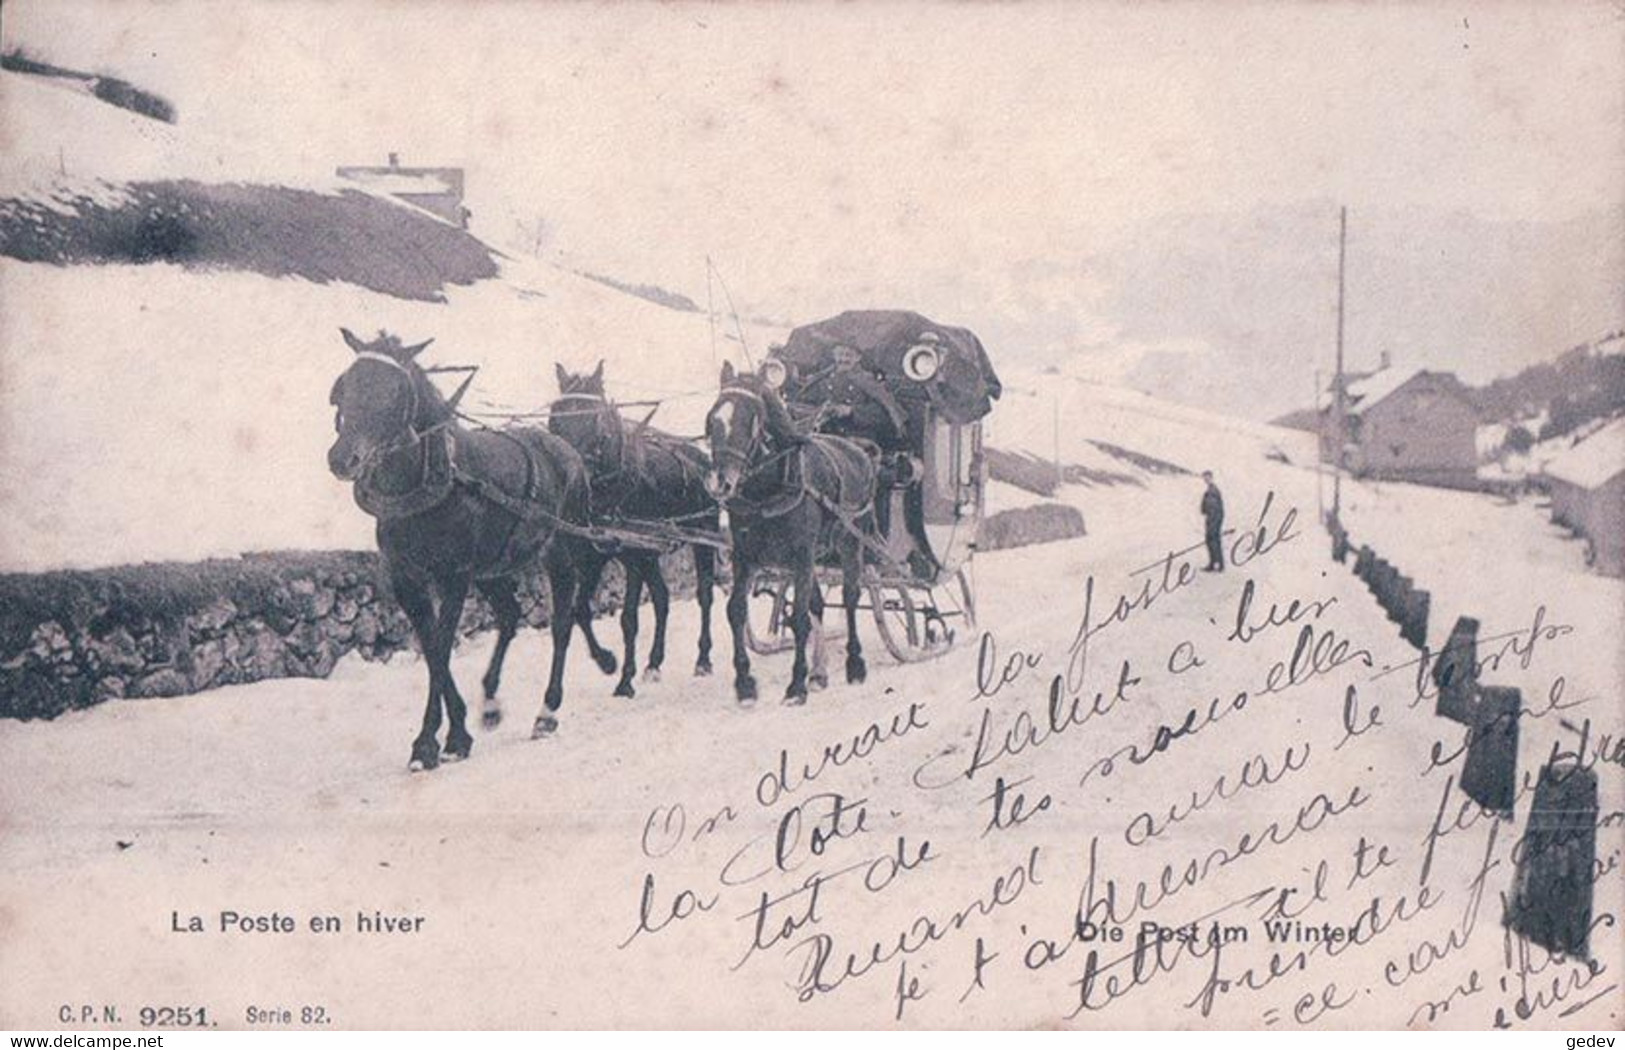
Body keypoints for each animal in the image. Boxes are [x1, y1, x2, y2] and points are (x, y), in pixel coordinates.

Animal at [325, 325, 591, 770]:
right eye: (345, 386)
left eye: (395, 392)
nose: (343, 458)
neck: (431, 481)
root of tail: (567, 451)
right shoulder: (407, 580)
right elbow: (432, 647)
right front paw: (452, 733)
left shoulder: (453, 576)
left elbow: (440, 646)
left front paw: (437, 740)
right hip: (493, 567)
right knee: (509, 614)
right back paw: (491, 702)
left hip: (560, 551)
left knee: (561, 623)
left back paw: (547, 711)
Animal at [552, 362, 718, 698]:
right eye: (556, 418)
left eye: (596, 419)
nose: (574, 483)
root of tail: (702, 458)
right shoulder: (596, 556)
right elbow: (580, 610)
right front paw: (607, 662)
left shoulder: (635, 555)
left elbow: (628, 618)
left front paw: (624, 679)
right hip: (649, 552)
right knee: (663, 597)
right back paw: (654, 664)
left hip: (702, 535)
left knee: (705, 594)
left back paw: (703, 659)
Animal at [698, 362, 877, 708]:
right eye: (713, 418)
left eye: (751, 418)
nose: (720, 483)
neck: (767, 488)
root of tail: (859, 450)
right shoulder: (746, 557)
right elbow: (736, 611)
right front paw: (745, 684)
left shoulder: (801, 556)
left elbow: (800, 620)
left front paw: (795, 686)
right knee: (818, 604)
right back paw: (819, 673)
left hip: (850, 542)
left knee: (850, 597)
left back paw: (855, 664)